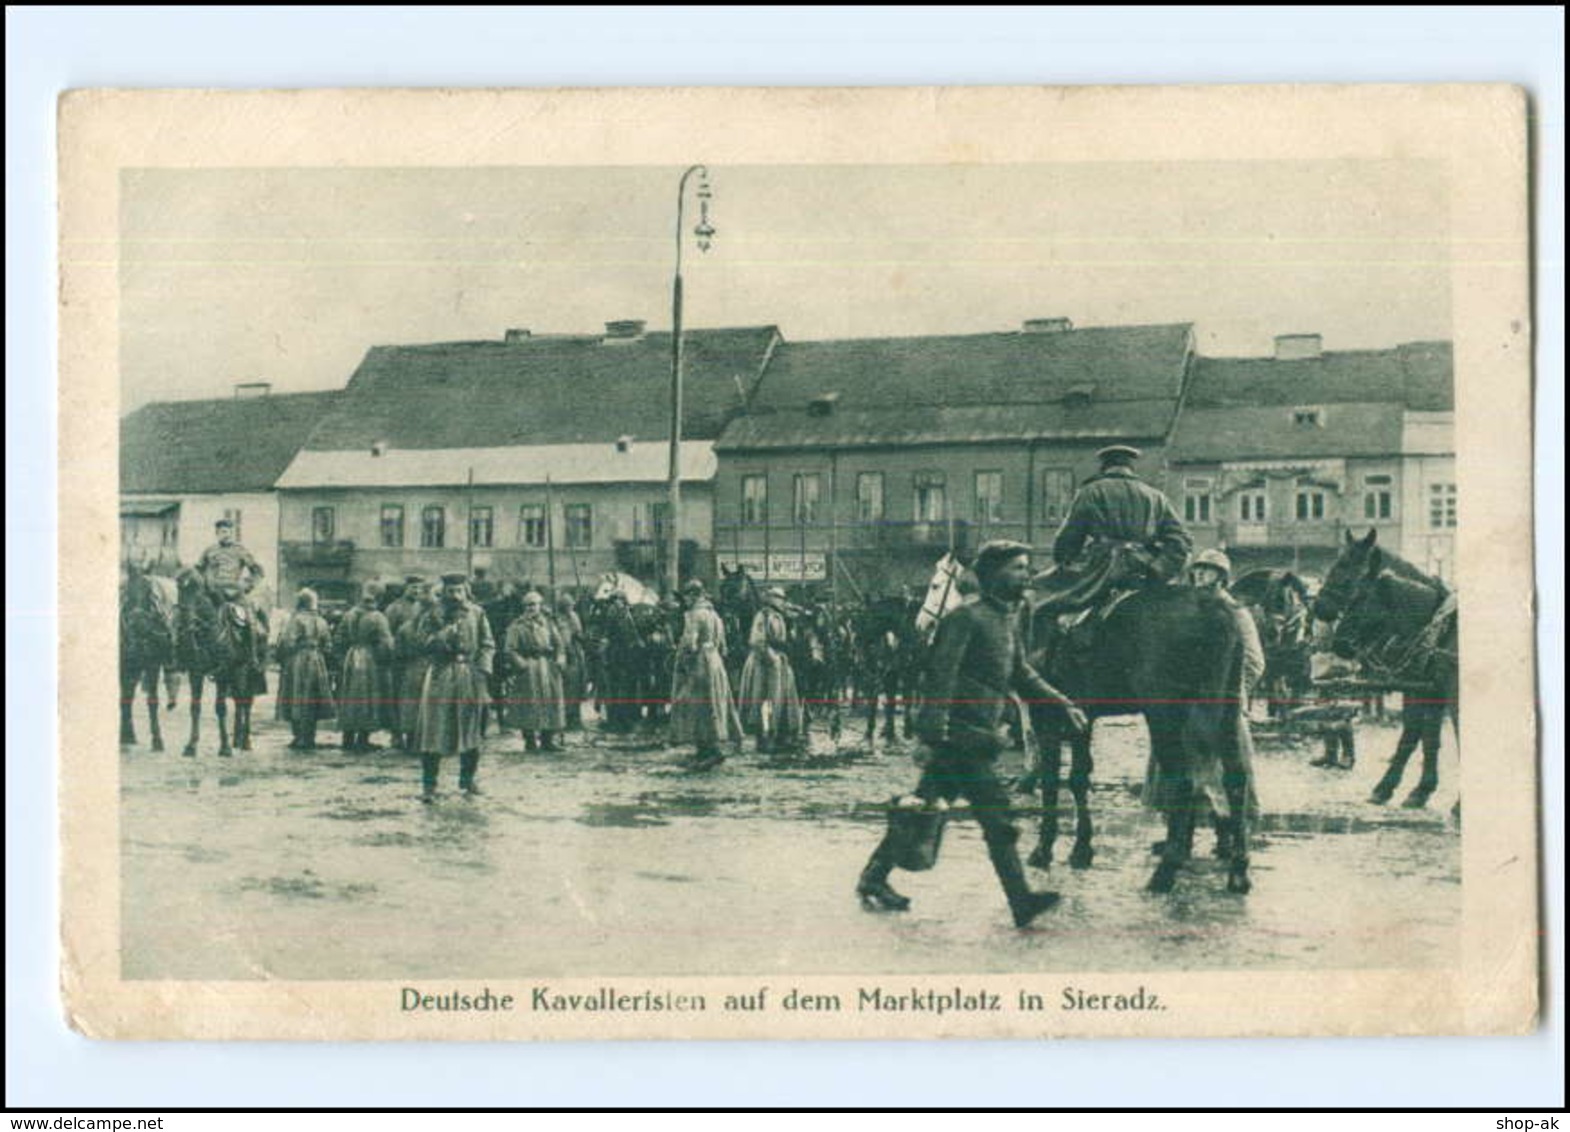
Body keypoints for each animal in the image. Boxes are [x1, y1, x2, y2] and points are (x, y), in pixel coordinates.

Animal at [1017, 587, 1249, 898]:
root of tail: (1209, 606)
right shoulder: (1081, 718)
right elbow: (1078, 778)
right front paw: (1081, 850)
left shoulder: (1048, 718)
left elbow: (1051, 782)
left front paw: (1042, 850)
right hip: (1227, 709)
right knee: (1236, 777)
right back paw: (1238, 872)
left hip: (1164, 714)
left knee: (1183, 781)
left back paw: (1164, 873)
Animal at [1312, 530, 1456, 810]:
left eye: (1344, 568)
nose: (1318, 607)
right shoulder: (1428, 689)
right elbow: (1426, 738)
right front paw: (1419, 790)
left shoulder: (1434, 693)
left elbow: (1420, 735)